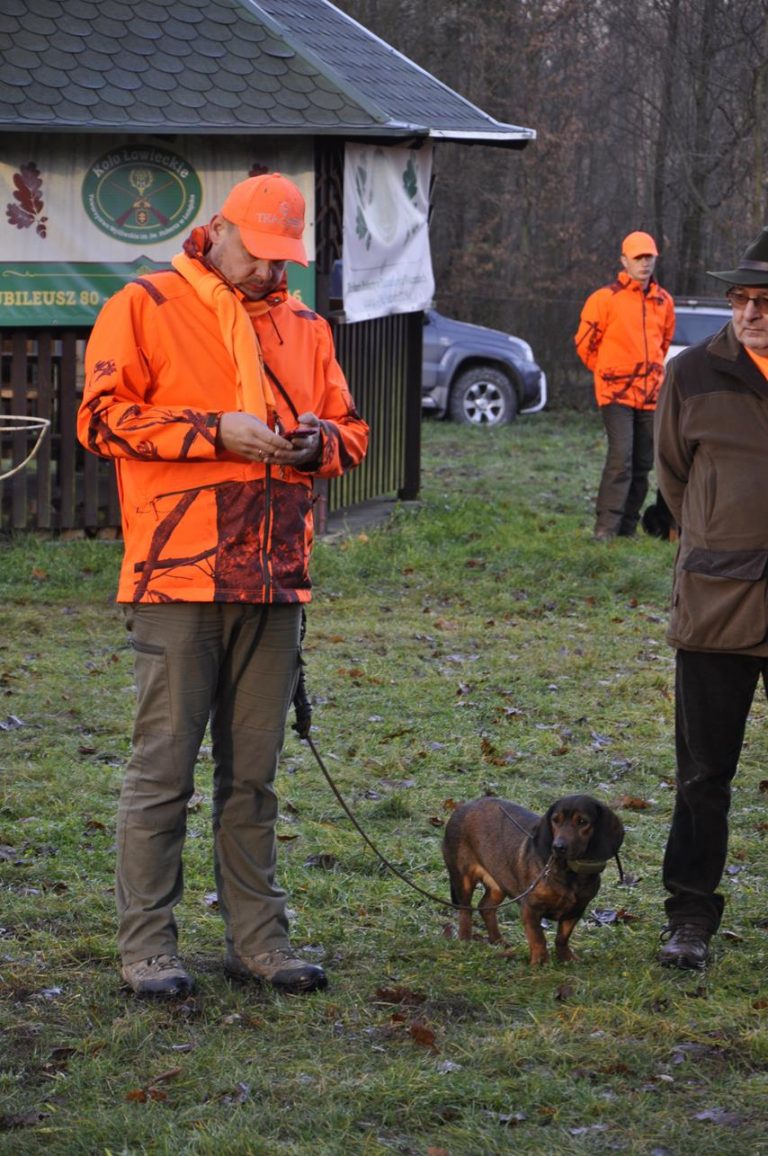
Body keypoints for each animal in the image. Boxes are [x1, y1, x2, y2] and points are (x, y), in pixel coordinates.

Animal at [444, 795, 624, 966]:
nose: (557, 847)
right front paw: (541, 962)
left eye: (582, 822)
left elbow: (562, 938)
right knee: (465, 911)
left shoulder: (576, 910)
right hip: (464, 878)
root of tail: (463, 807)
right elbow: (538, 938)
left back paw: (499, 941)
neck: (568, 873)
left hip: (500, 883)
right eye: (555, 820)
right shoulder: (530, 908)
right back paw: (465, 940)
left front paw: (566, 958)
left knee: (486, 907)